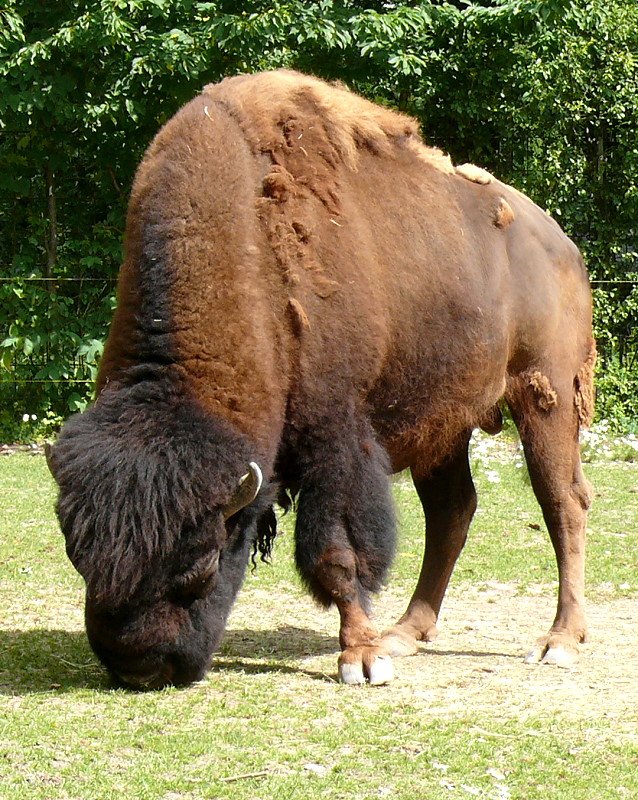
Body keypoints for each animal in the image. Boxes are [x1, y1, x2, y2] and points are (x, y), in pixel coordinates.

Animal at [47, 70, 596, 688]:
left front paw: (361, 658)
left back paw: (559, 640)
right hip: (443, 423)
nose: (139, 665)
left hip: (546, 397)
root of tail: (562, 244)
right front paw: (374, 647)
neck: (251, 252)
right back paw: (407, 632)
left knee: (563, 502)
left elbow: (336, 552)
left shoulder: (336, 439)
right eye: (77, 556)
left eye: (203, 564)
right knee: (452, 510)